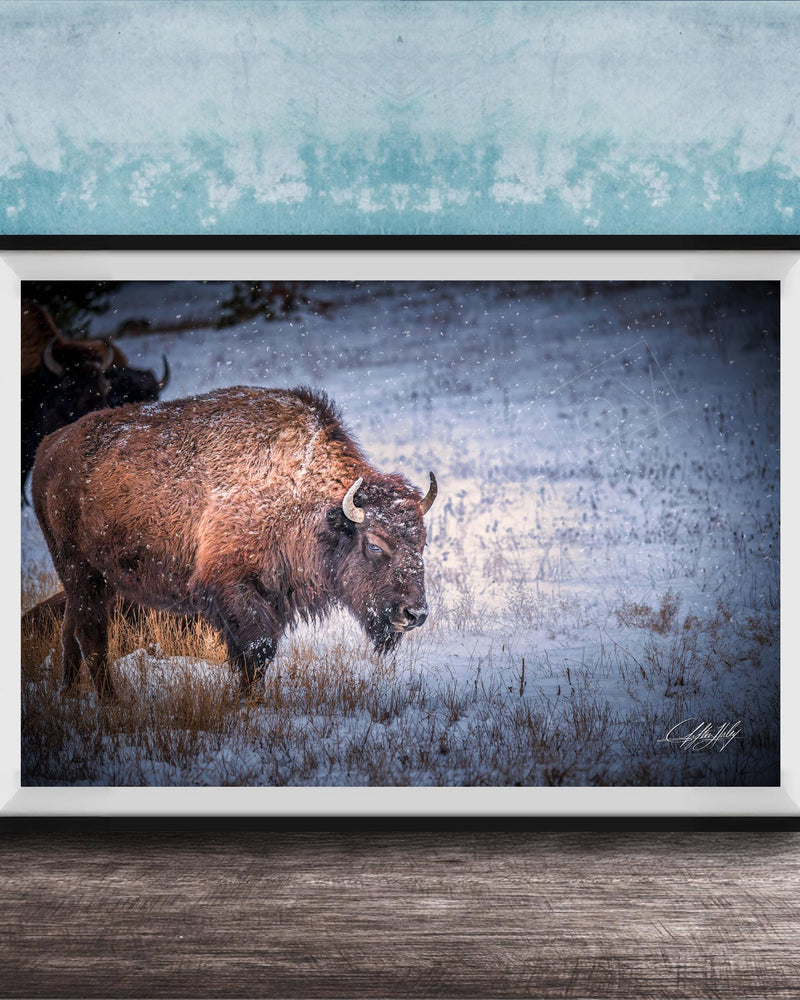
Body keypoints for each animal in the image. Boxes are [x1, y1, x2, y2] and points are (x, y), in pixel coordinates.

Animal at [31, 386, 437, 701]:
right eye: (375, 545)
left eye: (421, 544)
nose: (414, 614)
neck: (300, 494)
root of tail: (48, 448)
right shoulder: (233, 588)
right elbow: (255, 650)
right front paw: (246, 704)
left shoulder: (274, 597)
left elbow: (257, 655)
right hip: (79, 568)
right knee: (91, 633)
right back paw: (111, 701)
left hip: (92, 579)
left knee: (71, 629)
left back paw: (69, 694)